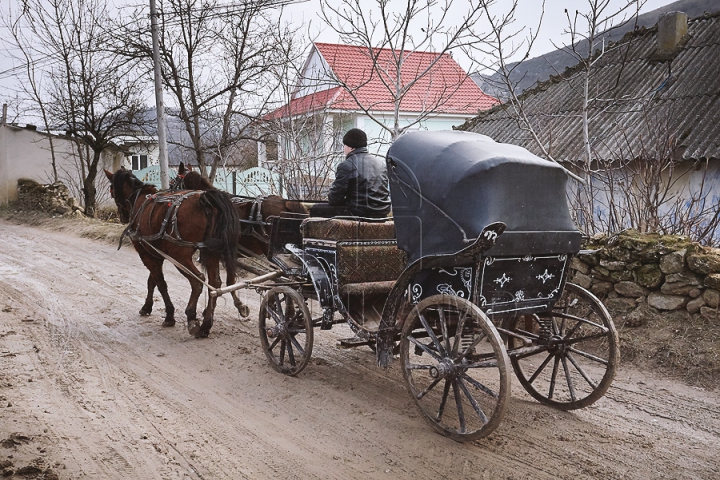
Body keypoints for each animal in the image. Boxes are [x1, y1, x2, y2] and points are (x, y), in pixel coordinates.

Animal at [104, 168, 240, 338]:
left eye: (111, 189)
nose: (122, 217)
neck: (139, 199)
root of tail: (204, 199)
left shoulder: (146, 254)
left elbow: (161, 284)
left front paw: (169, 315)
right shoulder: (156, 254)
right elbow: (152, 281)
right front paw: (147, 307)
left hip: (180, 256)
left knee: (198, 281)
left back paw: (192, 317)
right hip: (211, 252)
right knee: (214, 285)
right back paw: (206, 325)